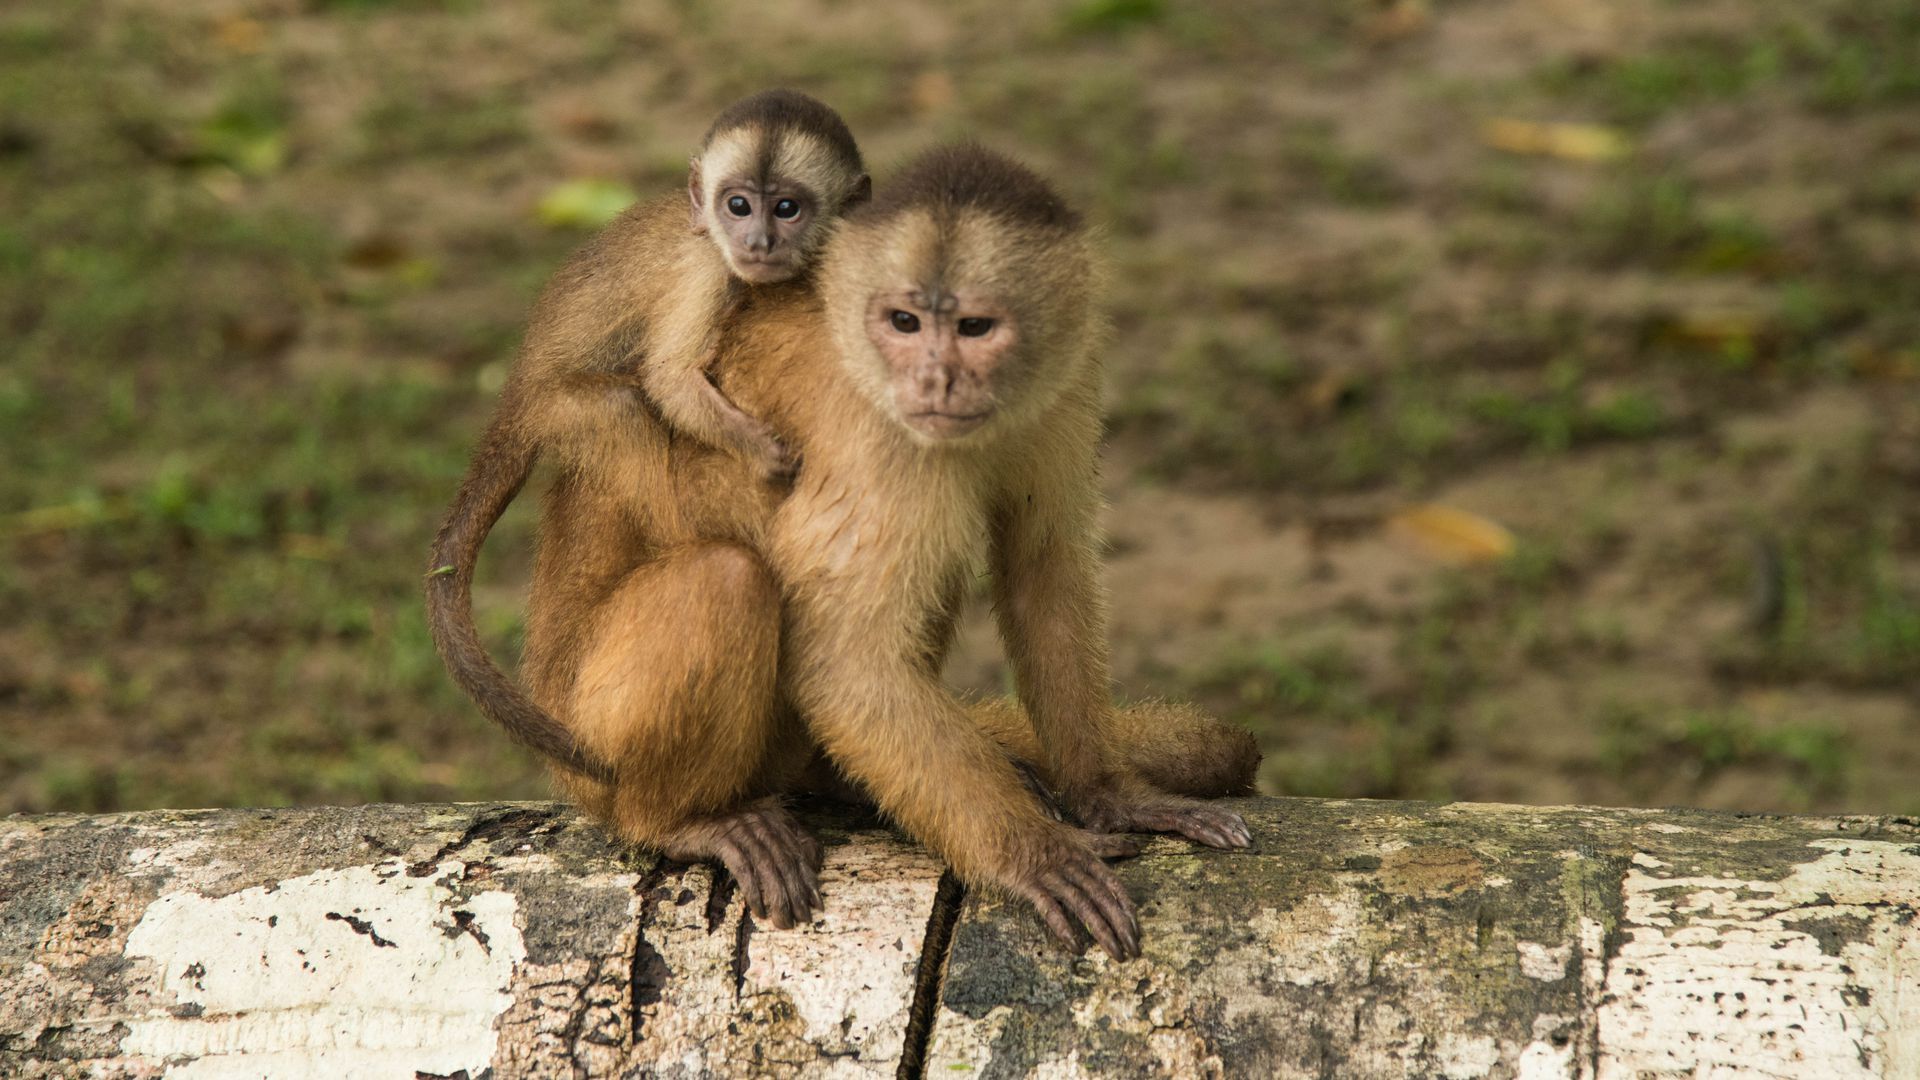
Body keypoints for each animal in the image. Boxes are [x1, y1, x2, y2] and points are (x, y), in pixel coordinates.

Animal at [425, 89, 871, 783]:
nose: (758, 240)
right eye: (737, 205)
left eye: (787, 208)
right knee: (624, 407)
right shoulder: (711, 270)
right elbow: (668, 377)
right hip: (557, 407)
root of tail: (515, 388)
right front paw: (763, 452)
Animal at [522, 143, 1257, 957]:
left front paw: (1113, 795)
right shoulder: (881, 435)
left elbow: (1043, 570)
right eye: (903, 323)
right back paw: (680, 821)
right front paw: (1032, 855)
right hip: (585, 740)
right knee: (728, 579)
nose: (933, 379)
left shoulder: (1064, 378)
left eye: (973, 327)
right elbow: (848, 662)